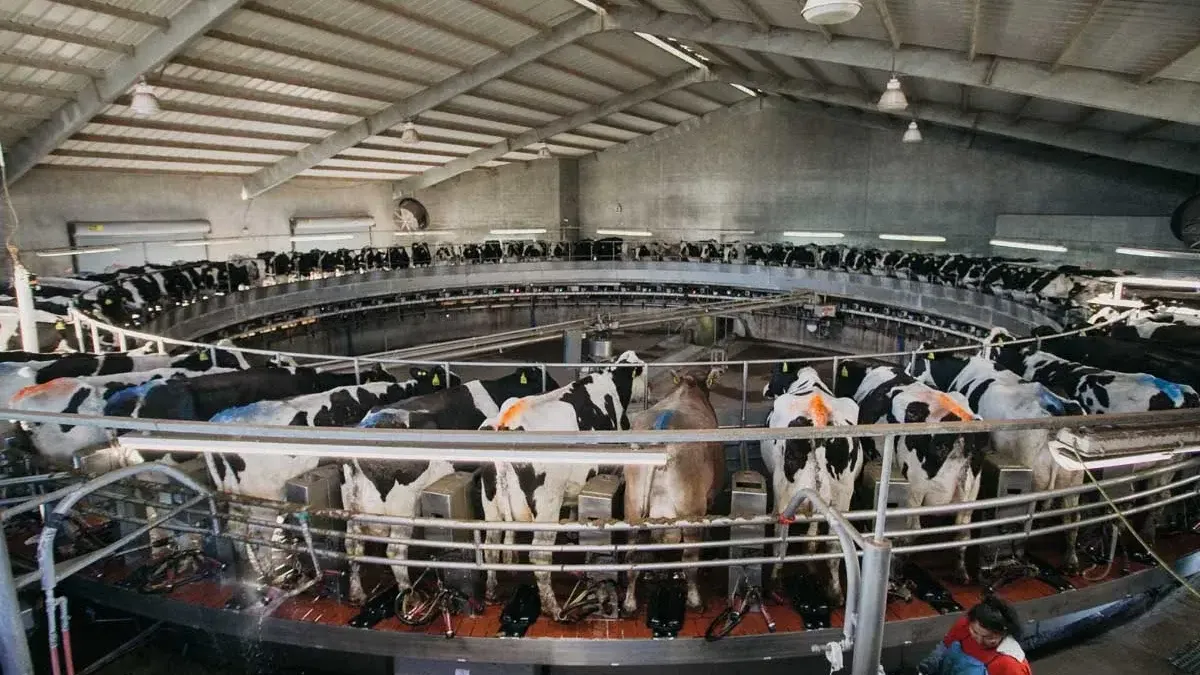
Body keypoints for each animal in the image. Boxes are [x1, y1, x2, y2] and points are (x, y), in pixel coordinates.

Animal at [477, 348, 648, 612]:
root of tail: (504, 425)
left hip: (491, 505)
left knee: (491, 546)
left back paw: (491, 591)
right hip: (546, 506)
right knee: (539, 556)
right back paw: (553, 608)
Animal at [624, 369, 724, 612]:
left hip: (632, 505)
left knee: (631, 555)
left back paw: (630, 602)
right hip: (691, 508)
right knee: (689, 558)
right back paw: (695, 600)